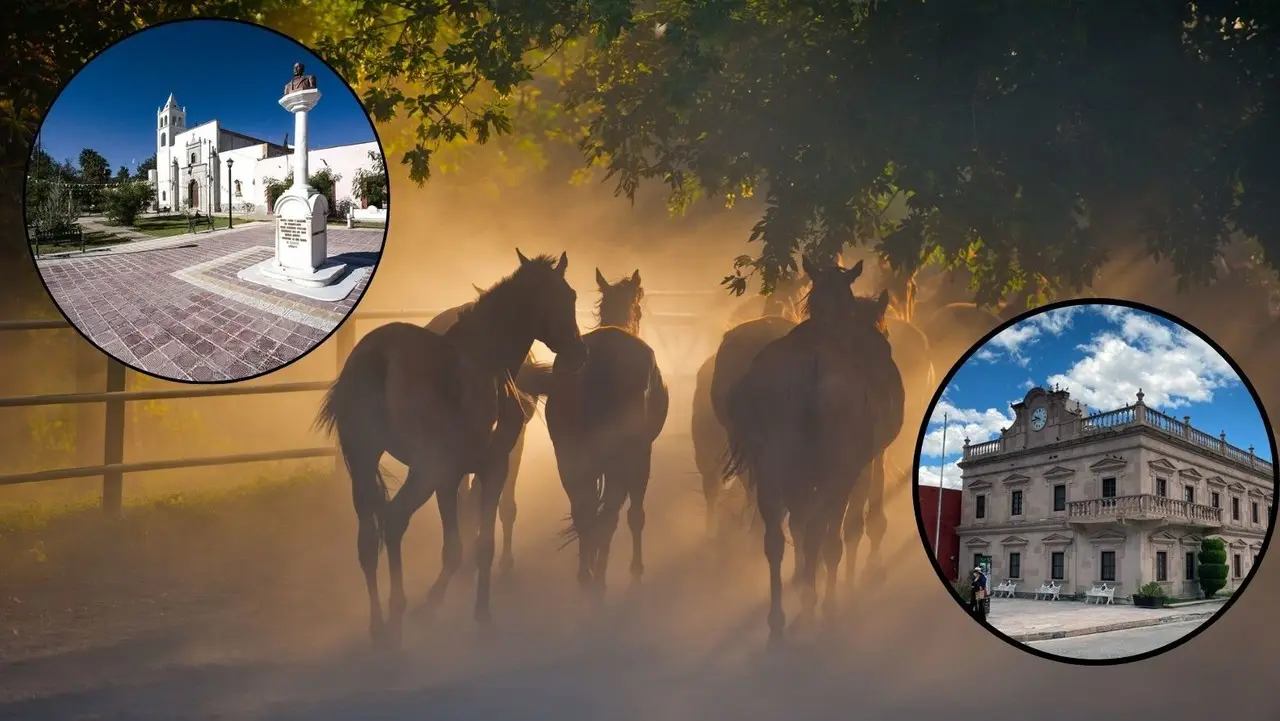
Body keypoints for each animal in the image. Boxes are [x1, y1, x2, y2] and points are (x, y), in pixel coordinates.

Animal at [540, 267, 670, 594]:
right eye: (639, 307)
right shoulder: (642, 455)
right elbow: (635, 515)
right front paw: (635, 570)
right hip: (620, 457)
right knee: (609, 515)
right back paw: (598, 580)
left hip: (568, 456)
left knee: (583, 511)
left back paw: (587, 576)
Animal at [727, 256, 906, 645]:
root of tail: (811, 367)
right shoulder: (863, 464)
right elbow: (849, 528)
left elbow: (803, 528)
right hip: (834, 474)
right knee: (824, 539)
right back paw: (823, 610)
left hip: (774, 470)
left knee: (778, 540)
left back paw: (779, 623)